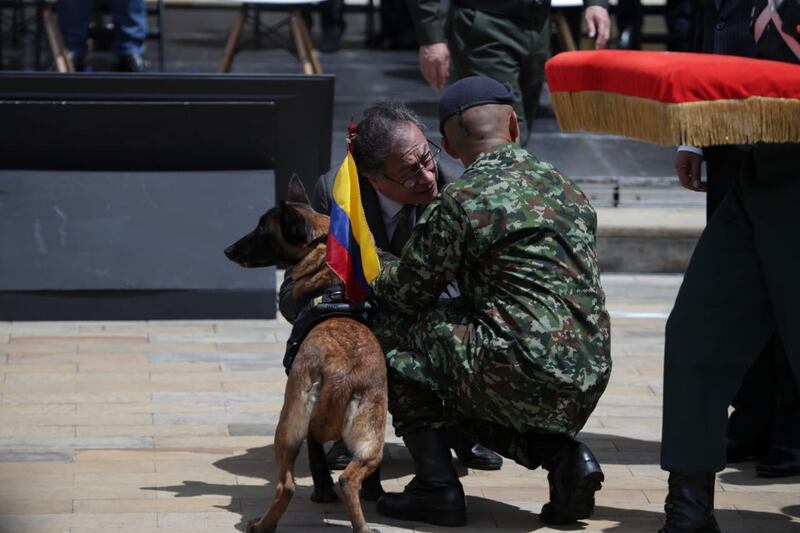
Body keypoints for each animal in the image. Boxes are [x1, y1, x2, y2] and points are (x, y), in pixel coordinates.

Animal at [225, 176, 388, 532]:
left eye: (262, 227)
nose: (228, 250)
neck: (331, 289)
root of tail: (343, 375)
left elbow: (315, 459)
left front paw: (321, 493)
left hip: (287, 427)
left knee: (286, 485)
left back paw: (262, 524)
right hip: (373, 439)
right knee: (350, 480)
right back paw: (363, 524)